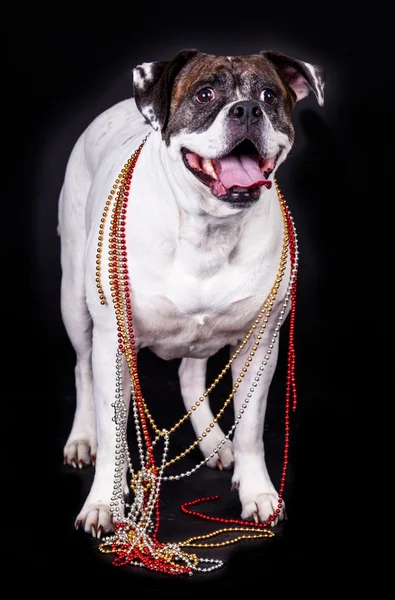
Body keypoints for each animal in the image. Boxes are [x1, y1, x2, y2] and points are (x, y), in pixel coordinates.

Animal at [58, 48, 324, 536]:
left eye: (269, 95)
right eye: (205, 95)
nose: (247, 109)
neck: (207, 229)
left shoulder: (261, 344)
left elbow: (251, 425)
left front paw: (258, 492)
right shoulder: (113, 341)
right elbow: (112, 425)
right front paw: (104, 502)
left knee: (189, 376)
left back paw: (215, 443)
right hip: (75, 305)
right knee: (83, 371)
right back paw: (83, 438)